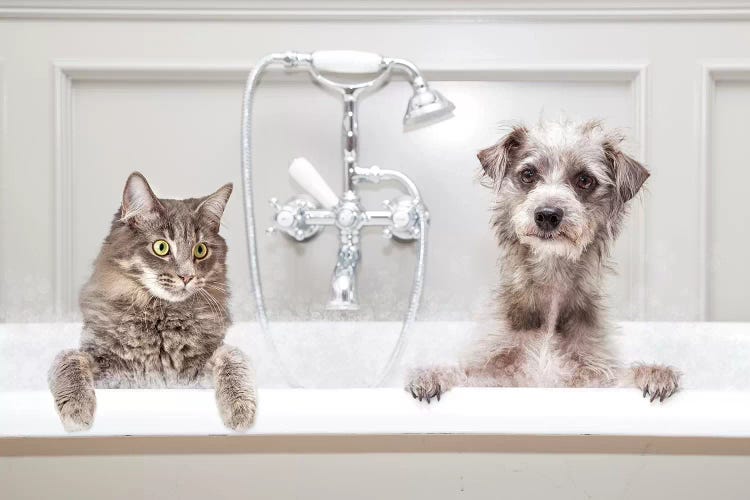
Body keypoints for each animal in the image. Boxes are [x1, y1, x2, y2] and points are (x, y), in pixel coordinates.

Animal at [49, 172, 258, 430]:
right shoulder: (108, 369)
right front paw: (77, 409)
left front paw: (240, 409)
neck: (160, 316)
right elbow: (69, 358)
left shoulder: (194, 372)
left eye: (200, 250)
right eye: (161, 247)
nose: (187, 276)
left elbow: (233, 358)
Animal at [408, 119, 684, 404]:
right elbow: (465, 375)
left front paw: (654, 373)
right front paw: (432, 374)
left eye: (585, 180)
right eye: (528, 174)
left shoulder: (591, 376)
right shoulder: (495, 374)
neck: (551, 280)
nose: (548, 215)